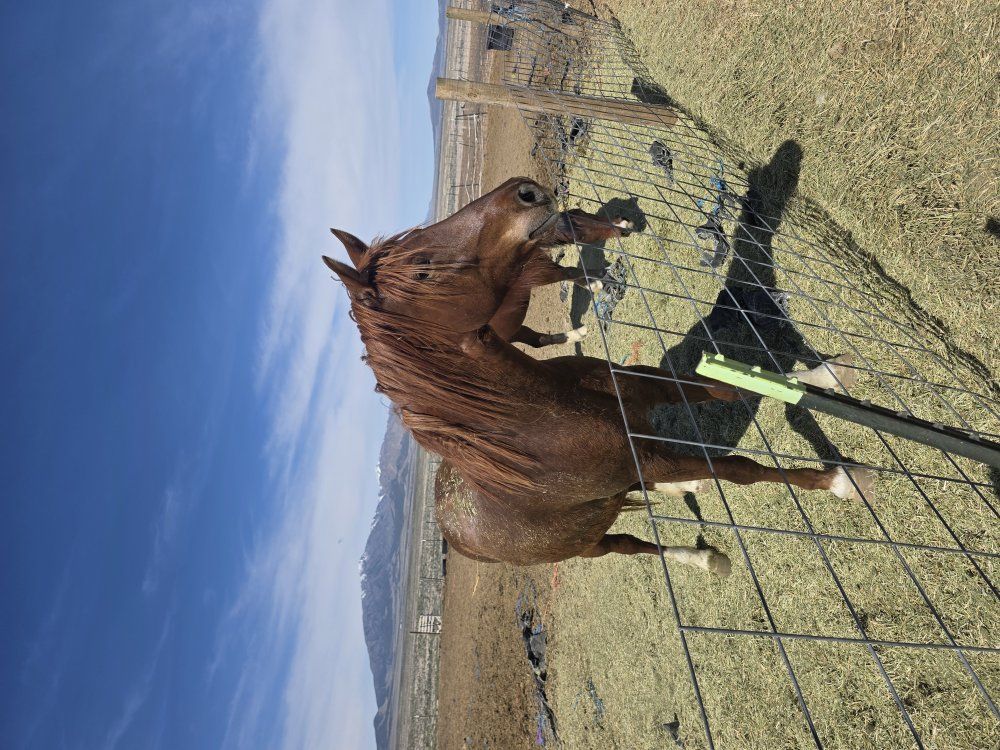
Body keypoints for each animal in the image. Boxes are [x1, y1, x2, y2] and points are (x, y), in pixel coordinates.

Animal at [323, 177, 874, 569]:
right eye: (422, 271)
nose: (524, 190)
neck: (543, 411)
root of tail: (456, 535)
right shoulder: (646, 460)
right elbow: (743, 469)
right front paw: (841, 480)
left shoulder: (642, 390)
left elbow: (716, 389)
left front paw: (826, 377)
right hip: (589, 543)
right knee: (632, 546)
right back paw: (700, 557)